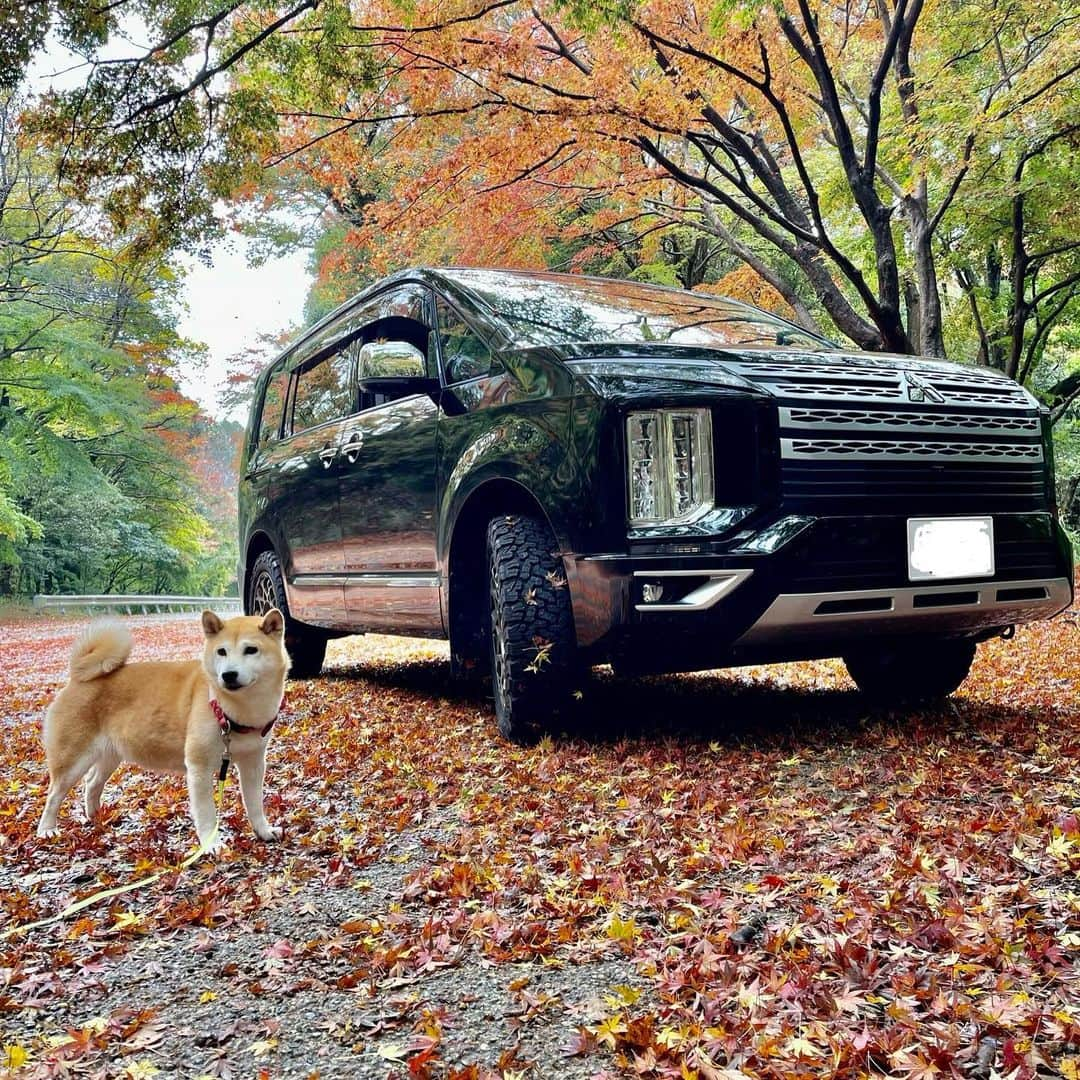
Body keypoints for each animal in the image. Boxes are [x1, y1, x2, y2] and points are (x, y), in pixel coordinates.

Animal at [38, 609, 291, 851]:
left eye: (251, 650)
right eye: (222, 652)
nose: (228, 675)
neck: (234, 710)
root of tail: (77, 679)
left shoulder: (253, 764)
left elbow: (255, 805)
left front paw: (263, 831)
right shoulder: (199, 768)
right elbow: (207, 813)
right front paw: (211, 845)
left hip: (109, 757)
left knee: (91, 784)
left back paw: (97, 817)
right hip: (73, 762)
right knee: (54, 796)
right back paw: (47, 829)